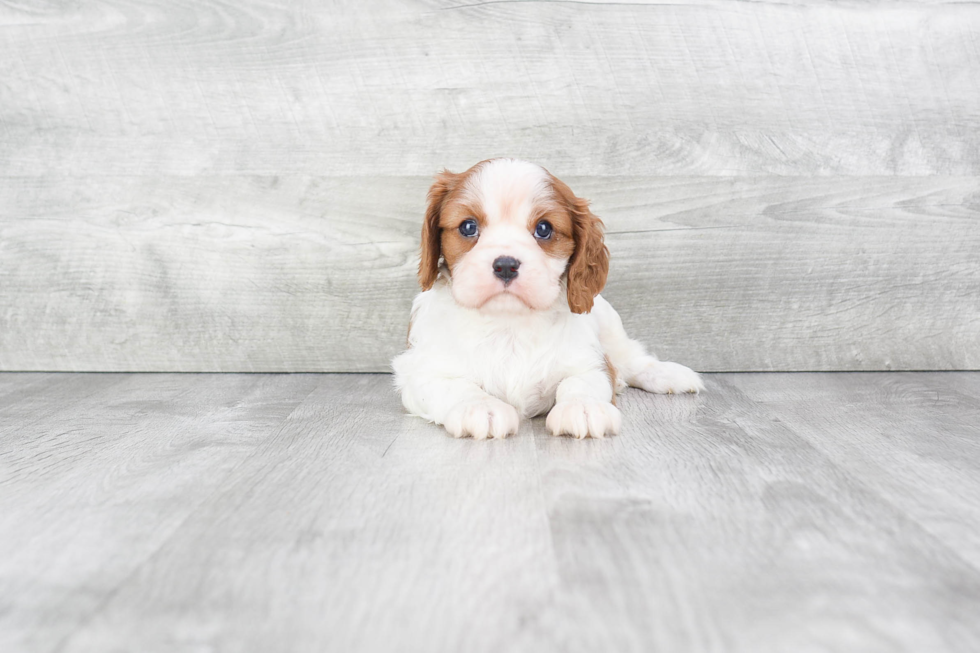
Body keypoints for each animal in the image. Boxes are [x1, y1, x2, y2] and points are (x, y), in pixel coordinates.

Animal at [392, 158, 704, 438]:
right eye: (468, 227)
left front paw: (583, 407)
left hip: (611, 326)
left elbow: (580, 382)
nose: (506, 265)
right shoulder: (422, 371)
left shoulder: (590, 361)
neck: (509, 325)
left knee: (632, 359)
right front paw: (480, 407)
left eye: (544, 229)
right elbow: (454, 386)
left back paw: (668, 374)